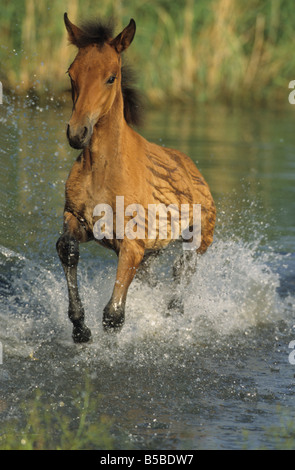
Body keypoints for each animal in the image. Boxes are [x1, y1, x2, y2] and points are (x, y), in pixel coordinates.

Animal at [56, 12, 216, 344]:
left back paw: (173, 313)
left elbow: (113, 315)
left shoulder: (133, 243)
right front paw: (80, 328)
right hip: (155, 250)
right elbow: (67, 249)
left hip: (198, 238)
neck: (102, 171)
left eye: (111, 77)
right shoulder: (78, 220)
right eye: (71, 73)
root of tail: (191, 167)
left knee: (183, 269)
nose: (77, 133)